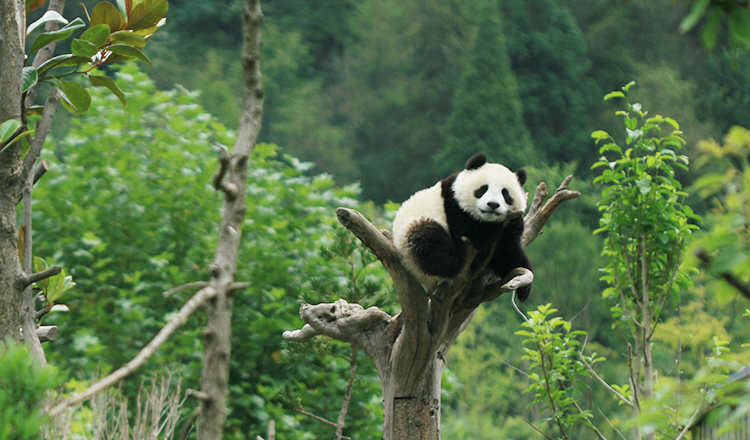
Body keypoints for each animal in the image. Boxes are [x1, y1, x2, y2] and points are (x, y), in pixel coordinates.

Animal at [394, 153, 536, 300]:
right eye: (483, 189)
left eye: (505, 193)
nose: (492, 204)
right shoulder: (455, 208)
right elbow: (476, 236)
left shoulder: (503, 240)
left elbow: (507, 253)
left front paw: (524, 288)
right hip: (411, 239)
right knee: (432, 246)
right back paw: (460, 258)